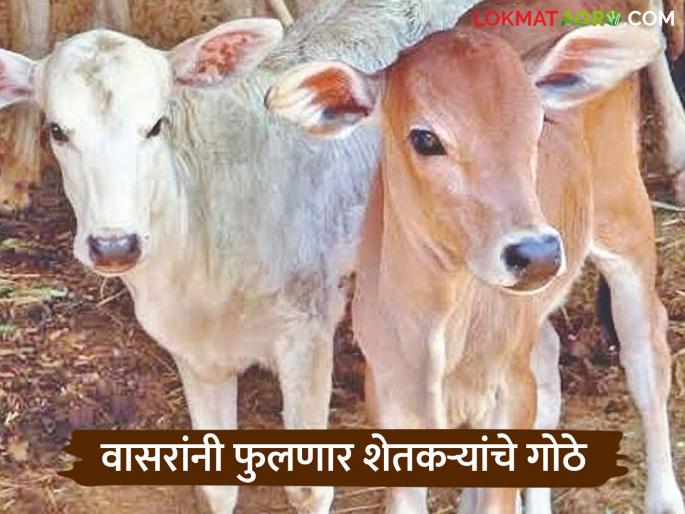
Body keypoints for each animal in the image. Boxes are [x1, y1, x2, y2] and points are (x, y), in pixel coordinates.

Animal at [0, 0, 480, 511]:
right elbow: (216, 487)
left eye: (156, 125)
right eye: (57, 130)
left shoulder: (307, 330)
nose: (115, 245)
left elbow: (309, 489)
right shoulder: (193, 352)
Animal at [267, 17, 684, 514]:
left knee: (645, 354)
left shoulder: (507, 393)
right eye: (425, 139)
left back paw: (664, 496)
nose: (537, 253)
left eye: (539, 122)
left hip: (624, 217)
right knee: (549, 359)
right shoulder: (390, 395)